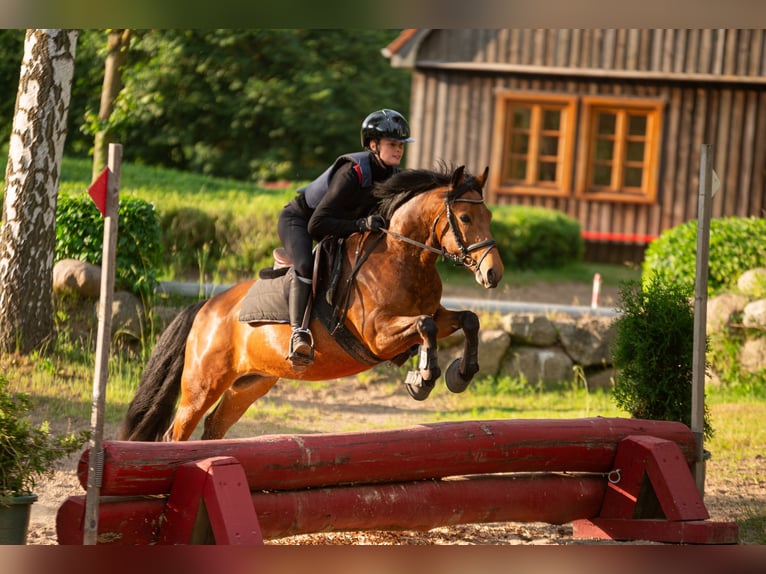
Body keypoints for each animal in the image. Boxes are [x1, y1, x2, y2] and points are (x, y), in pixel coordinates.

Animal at [121, 164, 504, 444]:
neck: (403, 256)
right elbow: (425, 325)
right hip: (202, 383)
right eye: (465, 218)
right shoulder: (377, 336)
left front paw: (459, 374)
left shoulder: (434, 314)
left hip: (252, 382)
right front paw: (423, 379)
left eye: (489, 217)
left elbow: (467, 320)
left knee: (214, 426)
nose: (493, 274)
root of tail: (205, 308)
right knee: (176, 432)